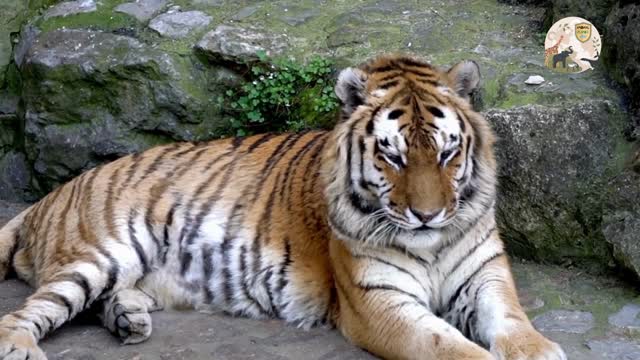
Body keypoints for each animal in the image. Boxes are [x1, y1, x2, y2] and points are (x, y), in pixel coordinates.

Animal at [0, 54, 564, 360]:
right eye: (393, 156)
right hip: (100, 254)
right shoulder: (379, 302)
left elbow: (513, 322)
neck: (433, 243)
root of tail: (54, 193)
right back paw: (22, 346)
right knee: (26, 311)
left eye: (447, 154)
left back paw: (127, 320)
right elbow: (448, 345)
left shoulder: (486, 275)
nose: (427, 216)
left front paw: (540, 349)